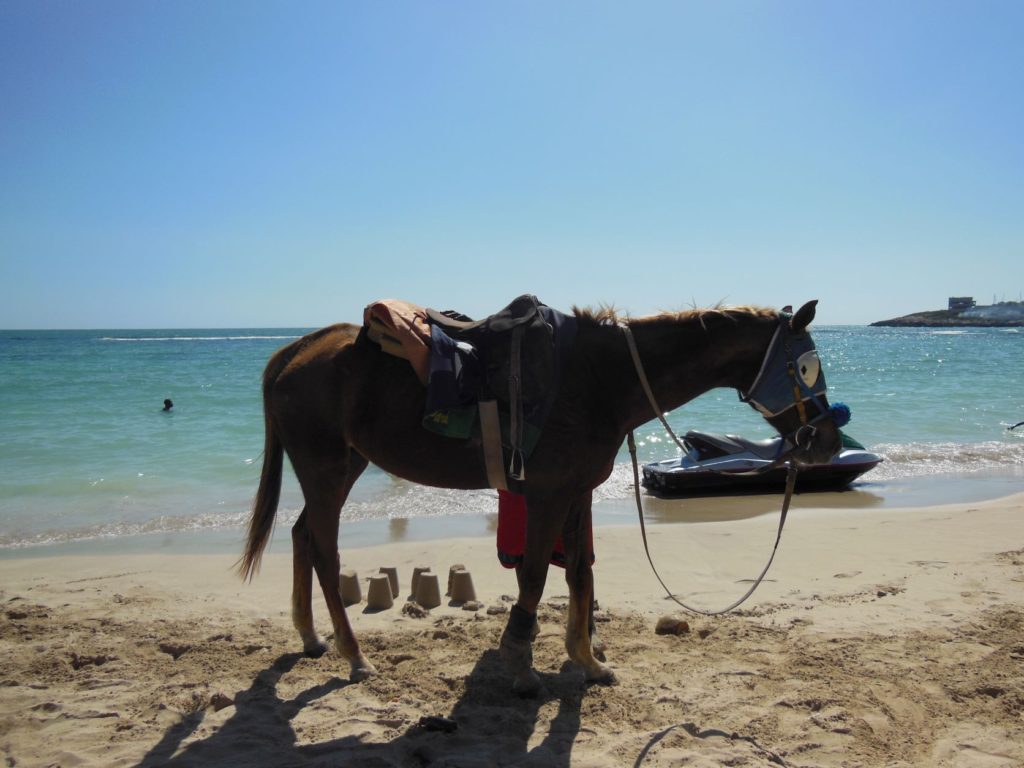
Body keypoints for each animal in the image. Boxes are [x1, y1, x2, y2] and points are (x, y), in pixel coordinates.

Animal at [239, 301, 839, 696]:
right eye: (807, 366)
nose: (827, 441)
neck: (600, 379)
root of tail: (293, 351)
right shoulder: (549, 494)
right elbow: (533, 575)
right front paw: (521, 661)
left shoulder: (577, 492)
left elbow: (579, 571)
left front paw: (587, 659)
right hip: (325, 468)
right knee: (324, 549)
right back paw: (354, 655)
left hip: (344, 464)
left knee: (301, 536)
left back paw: (312, 636)